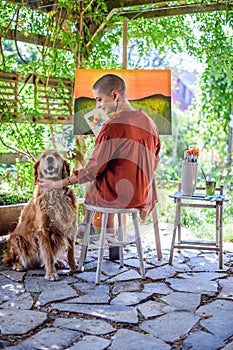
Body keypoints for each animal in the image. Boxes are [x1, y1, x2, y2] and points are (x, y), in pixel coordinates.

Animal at [2, 149, 77, 280]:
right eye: (44, 156)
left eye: (56, 155)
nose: (50, 159)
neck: (54, 193)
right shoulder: (43, 230)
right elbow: (48, 255)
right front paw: (51, 273)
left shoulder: (70, 225)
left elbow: (70, 252)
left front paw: (73, 267)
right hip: (16, 238)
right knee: (12, 258)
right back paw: (18, 265)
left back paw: (59, 262)